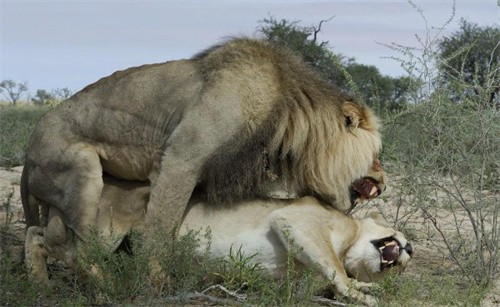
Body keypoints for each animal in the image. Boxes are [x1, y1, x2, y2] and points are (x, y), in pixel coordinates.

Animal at [21, 38, 384, 245]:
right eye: (378, 153)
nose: (383, 181)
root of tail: (26, 158)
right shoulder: (181, 159)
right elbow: (159, 230)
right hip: (81, 173)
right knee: (79, 243)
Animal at [24, 177, 410, 306]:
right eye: (406, 242)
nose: (409, 250)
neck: (353, 239)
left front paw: (365, 288)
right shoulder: (298, 221)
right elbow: (337, 272)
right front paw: (364, 294)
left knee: (43, 239)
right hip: (104, 233)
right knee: (47, 241)